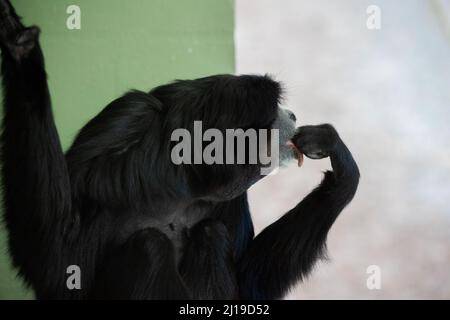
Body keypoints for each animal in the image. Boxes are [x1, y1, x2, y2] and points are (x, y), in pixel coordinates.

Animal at [0, 0, 358, 300]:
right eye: (274, 111)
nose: (293, 115)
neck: (185, 176)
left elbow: (249, 286)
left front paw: (341, 167)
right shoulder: (127, 116)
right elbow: (55, 259)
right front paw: (23, 55)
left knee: (211, 232)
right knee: (150, 245)